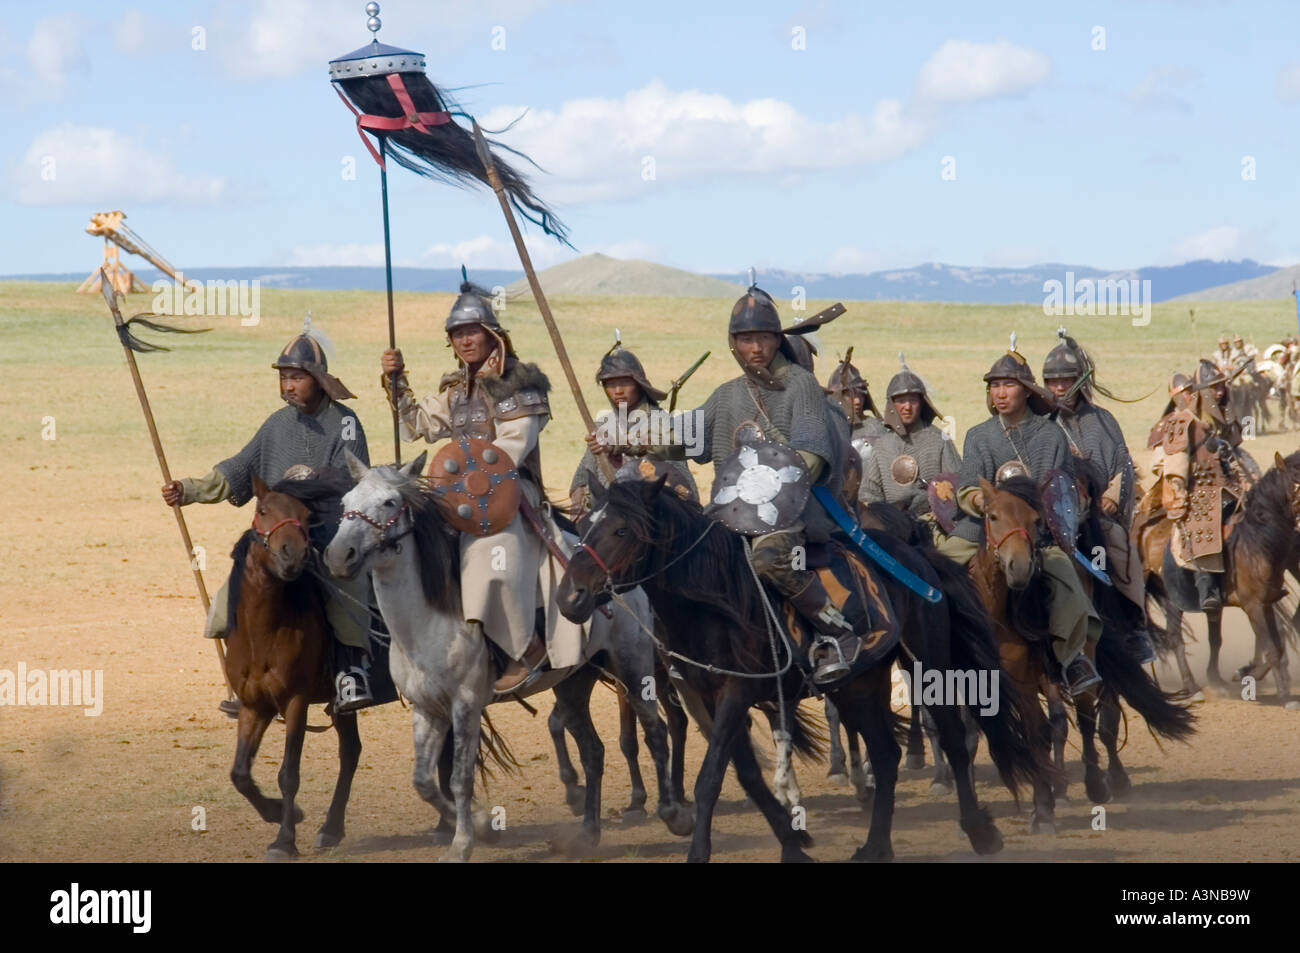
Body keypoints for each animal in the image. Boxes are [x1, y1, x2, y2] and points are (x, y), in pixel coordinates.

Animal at [226, 473, 364, 858]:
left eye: (306, 516)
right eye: (262, 510)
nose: (293, 554)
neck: (263, 631)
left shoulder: (296, 702)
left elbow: (289, 774)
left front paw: (284, 840)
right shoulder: (253, 704)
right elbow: (240, 774)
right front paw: (278, 814)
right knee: (351, 751)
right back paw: (331, 830)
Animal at [325, 452, 691, 863]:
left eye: (389, 502)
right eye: (345, 502)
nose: (338, 556)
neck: (428, 620)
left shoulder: (465, 705)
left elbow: (460, 778)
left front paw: (462, 844)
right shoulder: (427, 708)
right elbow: (423, 782)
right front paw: (484, 827)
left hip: (632, 664)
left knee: (656, 731)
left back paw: (674, 814)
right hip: (573, 682)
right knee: (593, 752)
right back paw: (587, 834)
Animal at [553, 475, 1040, 863]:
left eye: (621, 529)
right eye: (583, 524)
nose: (570, 597)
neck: (715, 598)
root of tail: (916, 556)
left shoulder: (735, 693)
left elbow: (710, 777)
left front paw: (699, 851)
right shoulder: (708, 697)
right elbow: (746, 774)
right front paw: (794, 842)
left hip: (926, 664)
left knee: (953, 741)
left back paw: (980, 832)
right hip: (858, 685)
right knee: (886, 755)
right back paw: (876, 846)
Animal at [1138, 447, 1300, 707]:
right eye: (1295, 482)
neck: (1256, 543)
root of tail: (1147, 529)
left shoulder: (1266, 603)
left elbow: (1276, 644)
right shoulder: (1253, 606)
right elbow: (1271, 648)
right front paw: (1280, 693)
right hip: (1172, 599)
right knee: (1175, 638)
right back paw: (1192, 687)